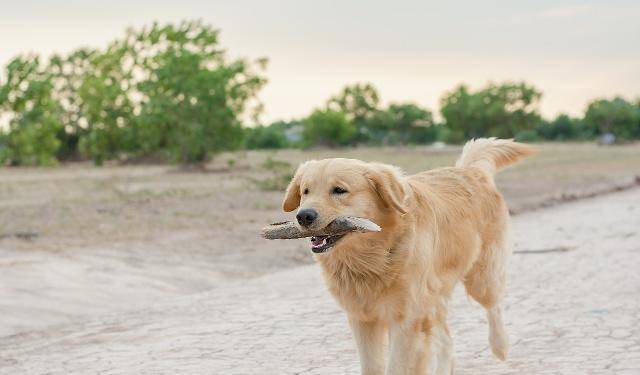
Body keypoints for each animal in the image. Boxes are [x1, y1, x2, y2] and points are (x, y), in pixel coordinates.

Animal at [280, 140, 536, 374]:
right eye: (305, 191)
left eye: (339, 190)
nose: (303, 216)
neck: (373, 256)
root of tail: (470, 171)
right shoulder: (363, 319)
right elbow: (372, 367)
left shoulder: (406, 320)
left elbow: (398, 366)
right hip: (434, 298)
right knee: (446, 339)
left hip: (480, 279)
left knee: (494, 306)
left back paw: (500, 346)